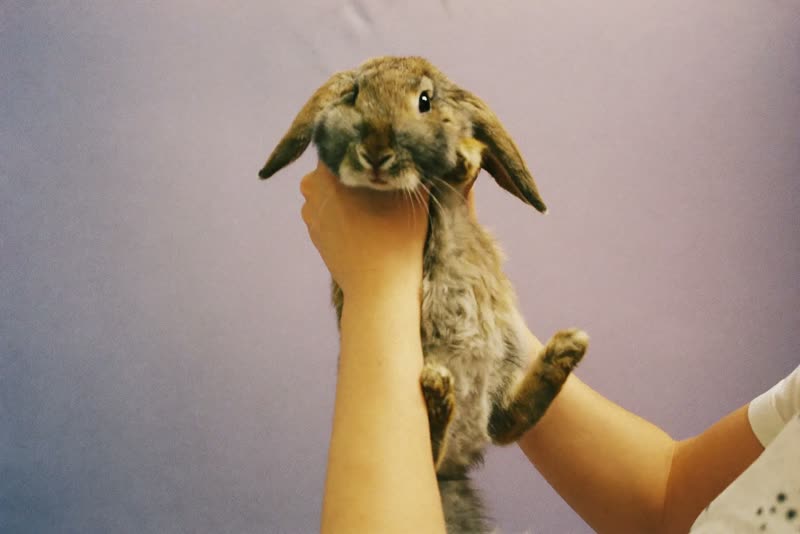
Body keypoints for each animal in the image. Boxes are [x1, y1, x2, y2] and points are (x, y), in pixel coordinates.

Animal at [258, 56, 588, 533]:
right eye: (353, 95)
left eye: (425, 101)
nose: (375, 153)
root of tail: (457, 465)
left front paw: (466, 155)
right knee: (455, 443)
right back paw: (439, 395)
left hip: (506, 353)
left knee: (505, 424)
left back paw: (564, 351)